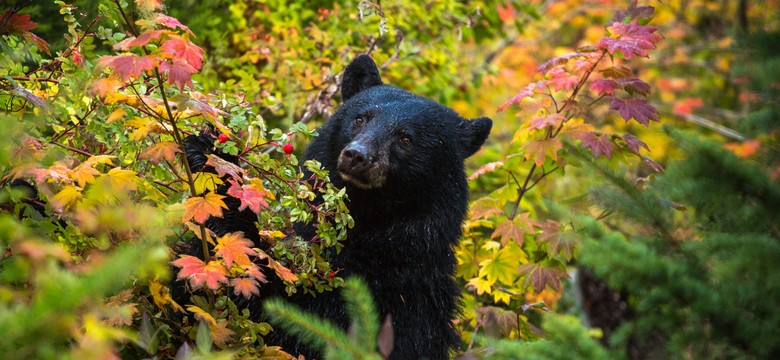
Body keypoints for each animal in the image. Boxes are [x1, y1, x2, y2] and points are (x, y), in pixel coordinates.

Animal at [186, 54, 490, 358]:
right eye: (360, 118)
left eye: (406, 138)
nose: (357, 155)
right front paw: (207, 146)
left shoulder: (383, 293)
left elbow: (280, 305)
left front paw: (213, 164)